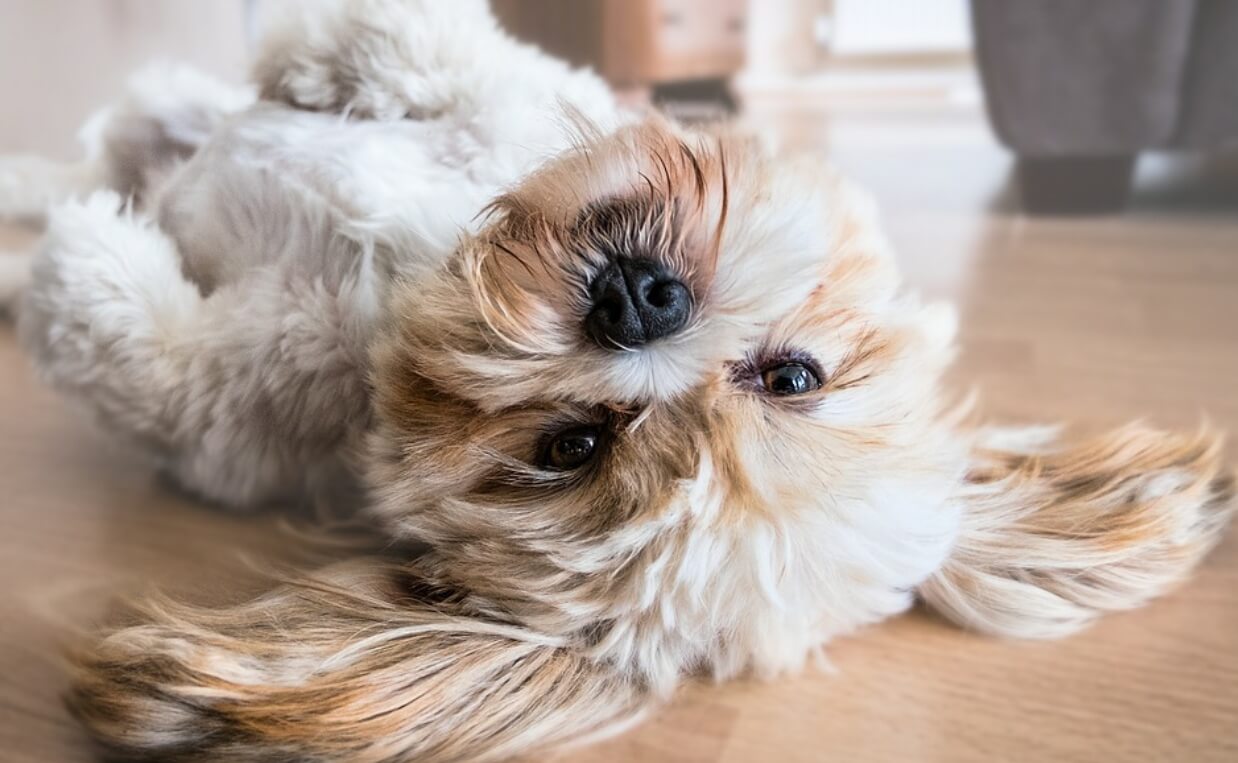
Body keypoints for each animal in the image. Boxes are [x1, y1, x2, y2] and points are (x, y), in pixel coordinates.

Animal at [0, 1, 1233, 763]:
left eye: (570, 446)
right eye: (794, 375)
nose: (639, 301)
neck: (409, 273)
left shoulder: (233, 419)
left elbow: (146, 355)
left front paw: (84, 264)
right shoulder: (516, 99)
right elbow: (438, 57)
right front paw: (329, 55)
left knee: (89, 185)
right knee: (110, 136)